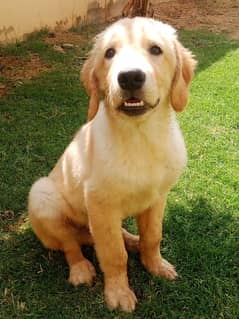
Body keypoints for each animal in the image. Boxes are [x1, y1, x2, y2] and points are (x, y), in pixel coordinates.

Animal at [28, 16, 196, 312]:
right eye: (109, 53)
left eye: (156, 49)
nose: (129, 77)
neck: (141, 136)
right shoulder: (100, 205)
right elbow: (113, 254)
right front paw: (118, 293)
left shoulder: (158, 197)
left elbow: (153, 235)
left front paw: (155, 264)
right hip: (42, 196)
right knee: (69, 243)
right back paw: (80, 269)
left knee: (111, 235)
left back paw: (133, 241)